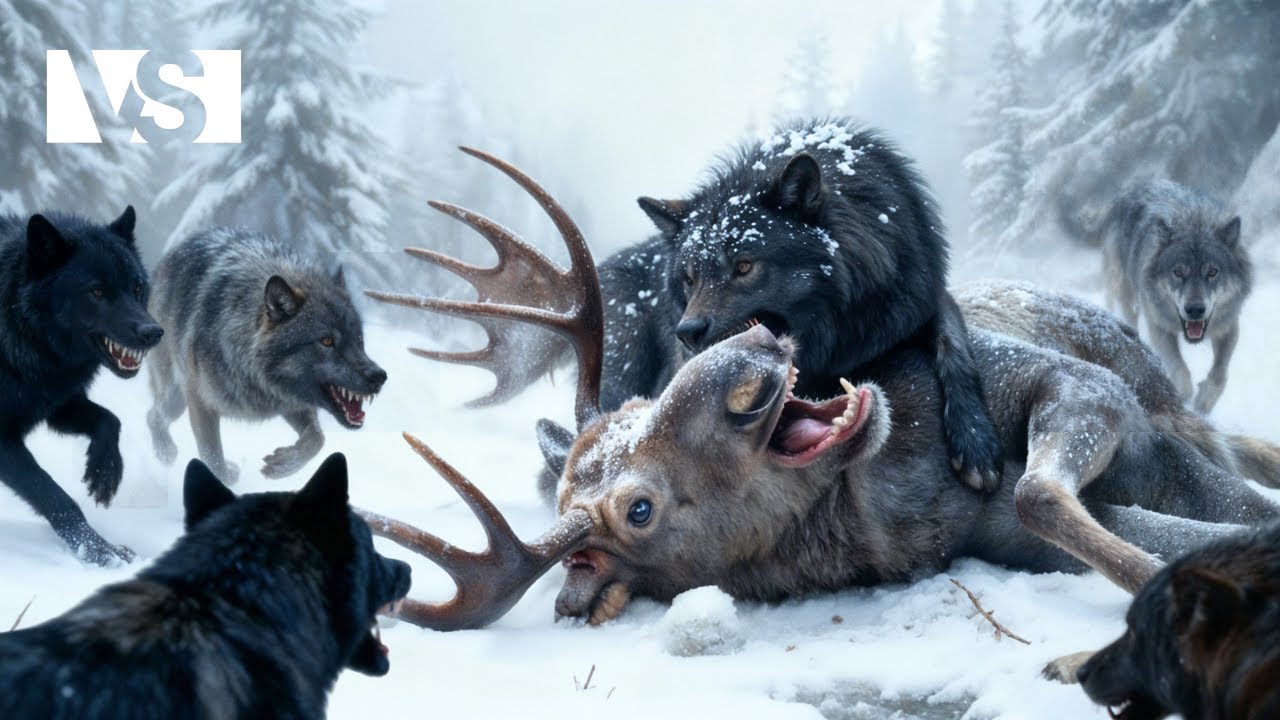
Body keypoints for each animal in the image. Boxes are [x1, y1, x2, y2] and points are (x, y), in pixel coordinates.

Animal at [0, 207, 162, 565]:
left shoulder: (56, 402)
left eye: (138, 287)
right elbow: (54, 496)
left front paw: (105, 473)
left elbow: (110, 419)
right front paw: (100, 551)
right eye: (97, 292)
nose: (153, 332)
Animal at [147, 228, 387, 483]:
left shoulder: (289, 400)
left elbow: (317, 439)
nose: (379, 376)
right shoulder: (201, 401)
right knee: (153, 415)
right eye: (327, 341)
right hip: (176, 397)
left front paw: (282, 465)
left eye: (359, 339)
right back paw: (166, 452)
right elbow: (213, 459)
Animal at [1096, 180, 1251, 414]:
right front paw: (1183, 396)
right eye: (1178, 272)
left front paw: (1203, 401)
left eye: (1212, 272)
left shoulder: (1228, 326)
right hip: (1125, 293)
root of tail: (1137, 184)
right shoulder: (1158, 325)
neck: (1194, 220)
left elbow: (1220, 375)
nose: (1195, 309)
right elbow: (1178, 368)